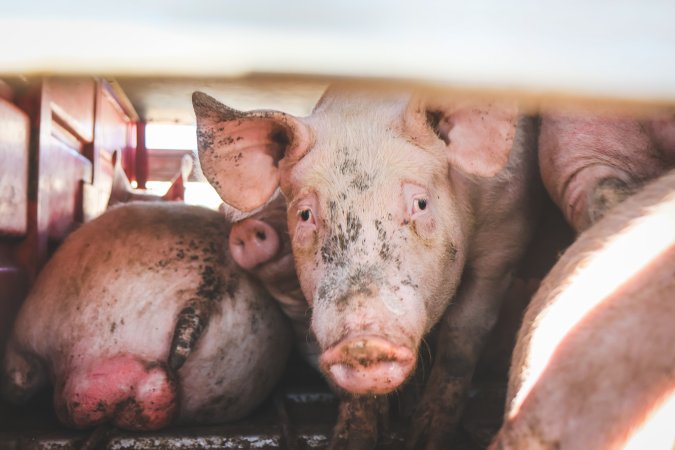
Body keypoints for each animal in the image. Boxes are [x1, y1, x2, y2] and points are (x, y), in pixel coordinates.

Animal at [193, 85, 540, 450]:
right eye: (305, 215)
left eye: (421, 204)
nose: (362, 341)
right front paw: (350, 439)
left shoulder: (504, 242)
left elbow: (462, 339)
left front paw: (425, 439)